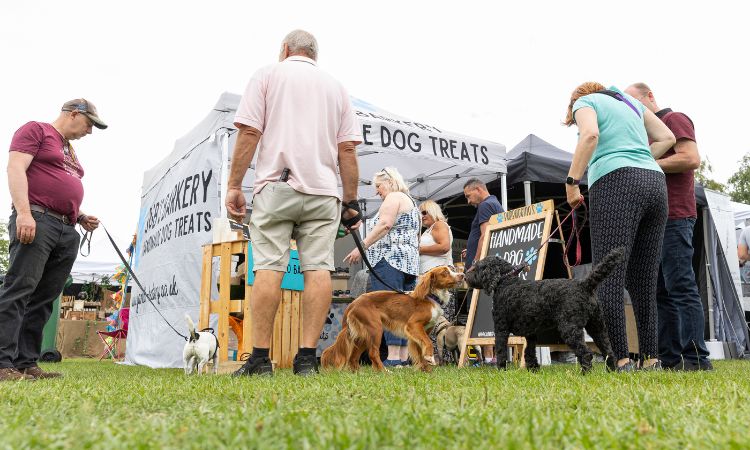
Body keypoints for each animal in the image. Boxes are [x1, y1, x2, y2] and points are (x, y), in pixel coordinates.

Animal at [468, 246, 624, 372]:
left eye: (478, 267)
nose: (465, 276)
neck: (507, 281)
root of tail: (584, 285)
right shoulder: (530, 333)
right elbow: (529, 352)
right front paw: (533, 369)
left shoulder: (501, 328)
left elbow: (501, 350)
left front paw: (501, 369)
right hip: (597, 327)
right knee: (609, 351)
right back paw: (612, 372)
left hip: (570, 329)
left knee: (586, 353)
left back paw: (585, 373)